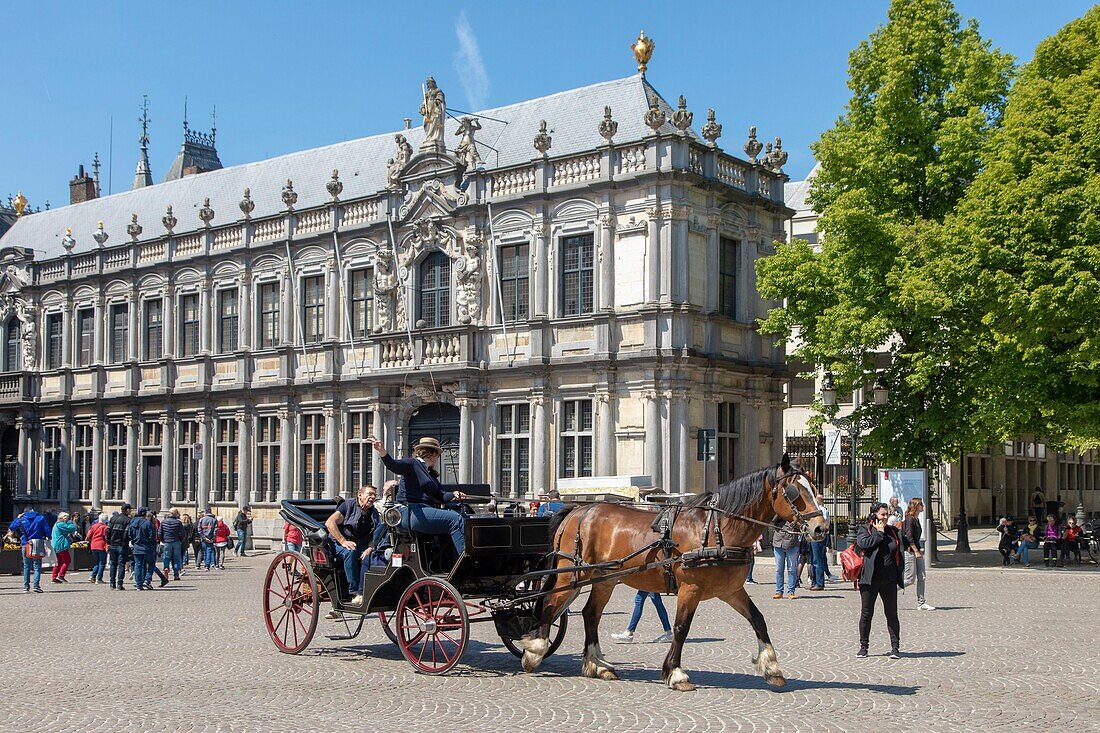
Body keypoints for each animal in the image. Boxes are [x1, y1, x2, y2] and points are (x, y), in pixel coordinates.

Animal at [514, 453, 827, 686]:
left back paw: (596, 664)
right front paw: (675, 673)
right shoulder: (691, 589)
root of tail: (577, 510)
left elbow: (759, 620)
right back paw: (535, 651)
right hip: (572, 574)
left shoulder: (731, 591)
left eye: (814, 488)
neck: (718, 529)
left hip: (604, 579)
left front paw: (772, 667)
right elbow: (681, 627)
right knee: (551, 604)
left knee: (591, 614)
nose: (821, 528)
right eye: (794, 492)